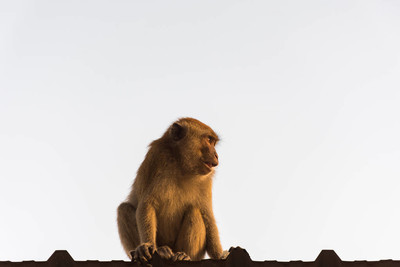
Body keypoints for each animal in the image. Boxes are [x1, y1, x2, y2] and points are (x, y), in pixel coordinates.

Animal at [116, 118, 228, 264]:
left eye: (213, 142)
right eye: (209, 140)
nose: (216, 155)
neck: (181, 165)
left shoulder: (206, 179)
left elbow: (206, 212)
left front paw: (219, 254)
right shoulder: (156, 157)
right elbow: (147, 203)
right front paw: (147, 245)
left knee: (194, 212)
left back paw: (184, 255)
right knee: (123, 209)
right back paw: (160, 250)